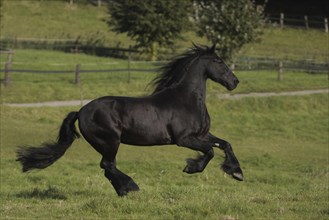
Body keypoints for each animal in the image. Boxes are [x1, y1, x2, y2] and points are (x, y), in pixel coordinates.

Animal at [16, 44, 242, 196]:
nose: (235, 82)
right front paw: (191, 168)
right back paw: (130, 188)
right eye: (218, 61)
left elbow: (225, 144)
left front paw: (237, 173)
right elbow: (210, 151)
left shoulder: (202, 134)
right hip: (109, 141)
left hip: (108, 143)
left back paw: (123, 190)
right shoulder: (183, 139)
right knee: (107, 165)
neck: (186, 99)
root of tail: (81, 111)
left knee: (108, 167)